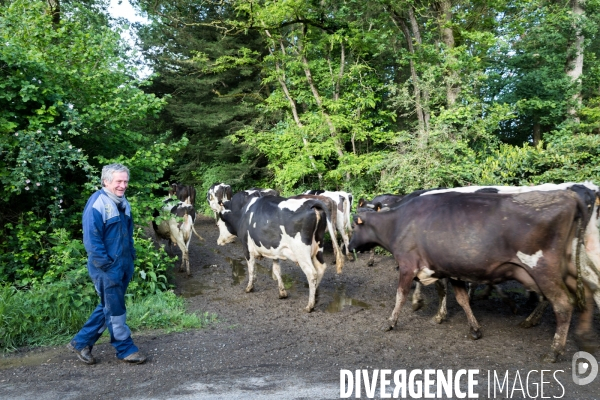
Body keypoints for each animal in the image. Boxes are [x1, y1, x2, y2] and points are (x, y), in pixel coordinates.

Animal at [346, 191, 596, 362]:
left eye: (353, 228)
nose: (348, 247)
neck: (398, 222)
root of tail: (568, 195)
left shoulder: (408, 265)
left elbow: (400, 296)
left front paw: (391, 322)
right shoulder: (451, 268)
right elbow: (462, 299)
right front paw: (475, 329)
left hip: (543, 269)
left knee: (563, 305)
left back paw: (555, 351)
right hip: (570, 268)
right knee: (588, 294)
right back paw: (583, 338)